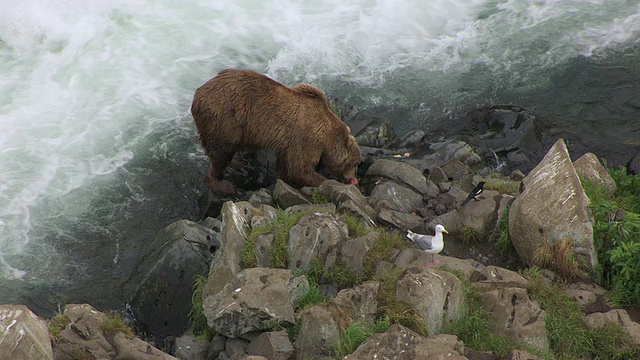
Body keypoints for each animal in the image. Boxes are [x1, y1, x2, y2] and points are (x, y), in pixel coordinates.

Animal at [190, 69, 362, 194]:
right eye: (355, 163)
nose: (353, 179)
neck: (327, 136)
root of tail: (197, 94)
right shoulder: (307, 138)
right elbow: (300, 169)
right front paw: (324, 181)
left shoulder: (288, 144)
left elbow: (286, 166)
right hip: (225, 119)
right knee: (220, 153)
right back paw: (223, 184)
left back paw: (238, 160)